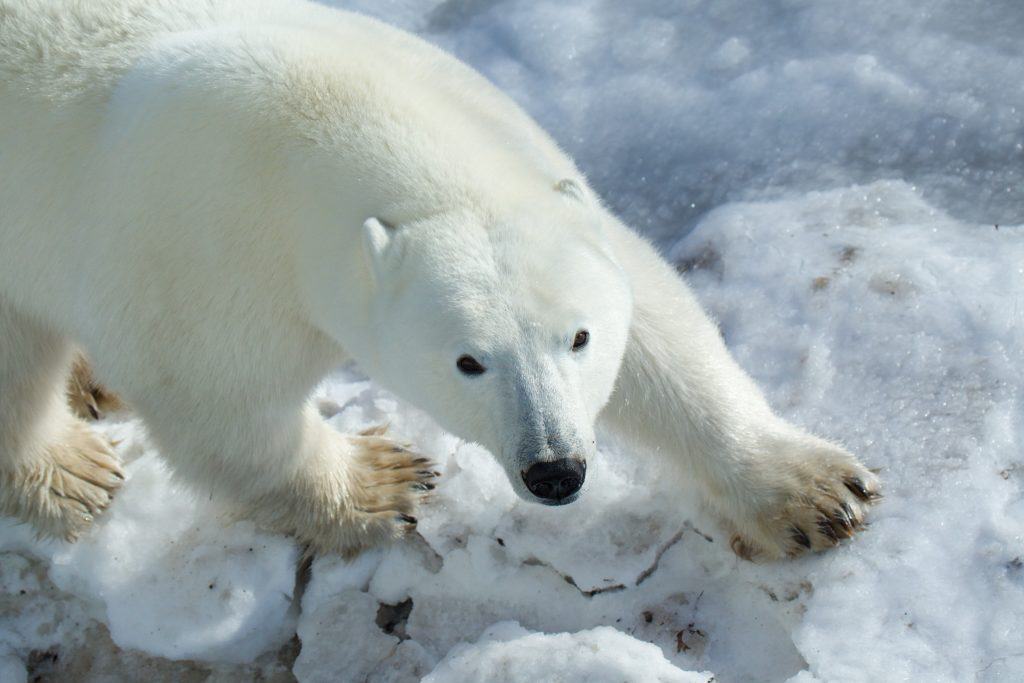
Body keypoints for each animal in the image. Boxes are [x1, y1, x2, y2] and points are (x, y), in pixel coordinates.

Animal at [0, 0, 879, 560]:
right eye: (468, 361)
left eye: (579, 337)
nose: (556, 470)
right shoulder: (200, 251)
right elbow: (222, 404)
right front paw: (380, 482)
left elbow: (658, 328)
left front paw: (816, 492)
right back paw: (70, 470)